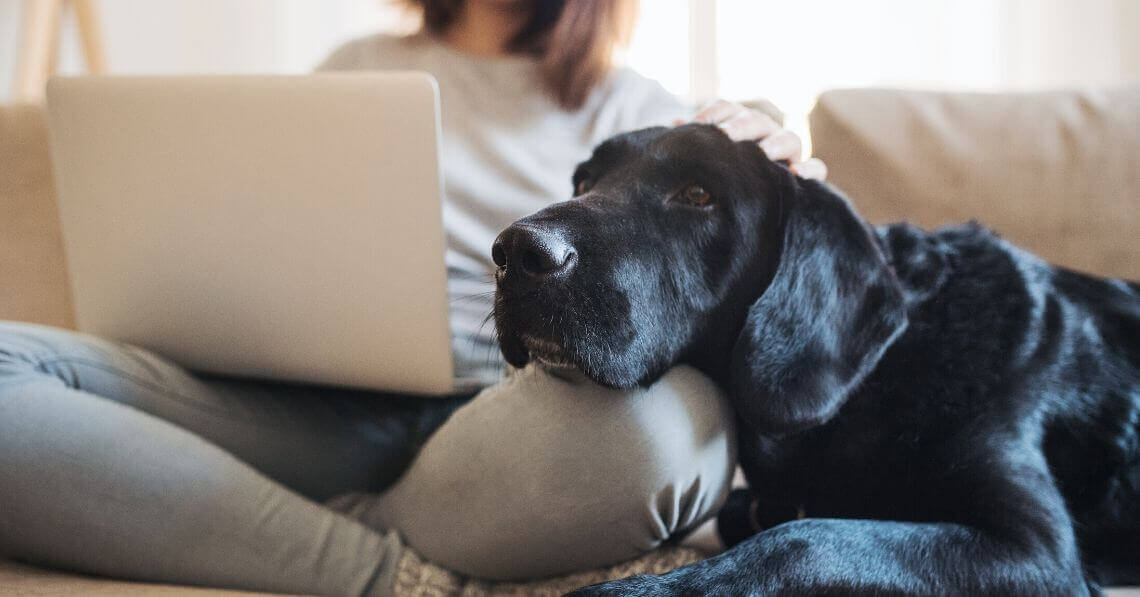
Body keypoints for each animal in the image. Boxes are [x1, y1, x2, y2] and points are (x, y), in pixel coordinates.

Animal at [492, 123, 1140, 592]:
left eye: (699, 195)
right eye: (583, 181)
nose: (515, 252)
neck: (880, 376)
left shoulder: (1037, 551)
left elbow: (805, 539)